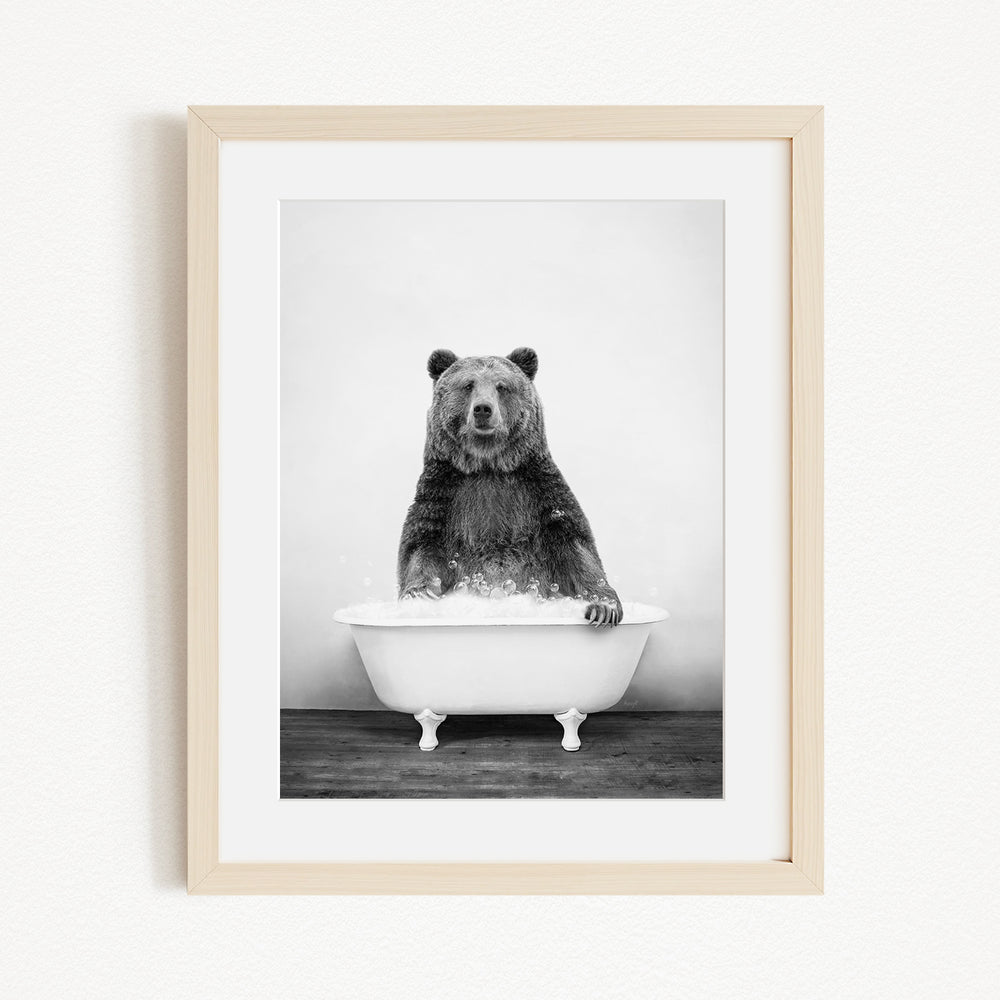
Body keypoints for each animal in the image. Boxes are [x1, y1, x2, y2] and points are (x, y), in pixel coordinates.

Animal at [397, 347, 623, 627]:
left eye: (501, 386)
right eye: (468, 384)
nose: (483, 409)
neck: (488, 465)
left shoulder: (539, 494)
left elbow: (576, 547)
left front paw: (603, 607)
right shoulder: (443, 497)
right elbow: (421, 549)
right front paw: (418, 596)